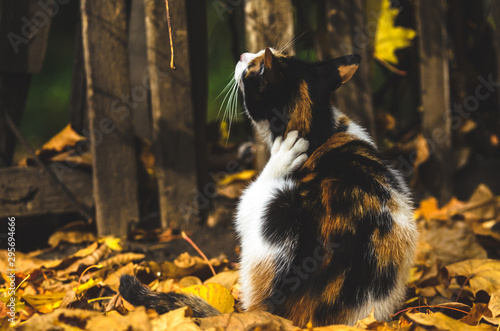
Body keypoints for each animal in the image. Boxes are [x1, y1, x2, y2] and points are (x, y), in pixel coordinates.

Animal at [119, 47, 416, 330]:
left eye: (254, 67)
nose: (242, 54)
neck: (317, 130)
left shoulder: (251, 203)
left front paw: (284, 156)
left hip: (273, 209)